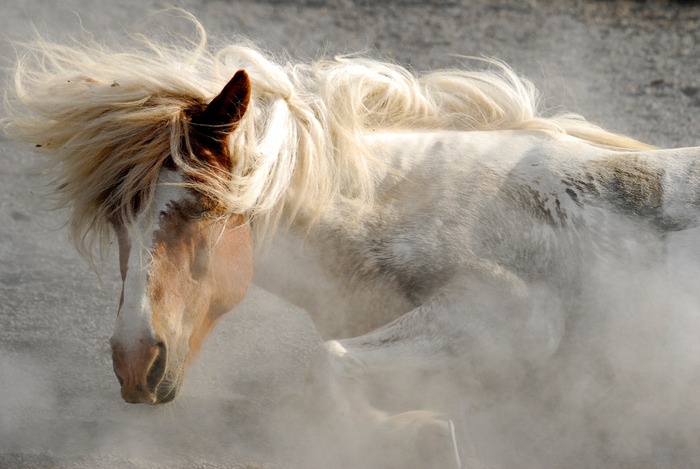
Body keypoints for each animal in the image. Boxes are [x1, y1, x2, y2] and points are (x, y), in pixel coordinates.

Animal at [5, 12, 700, 466]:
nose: (134, 364)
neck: (407, 207)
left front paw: (419, 433)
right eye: (117, 218)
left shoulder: (509, 315)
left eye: (202, 206)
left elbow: (328, 367)